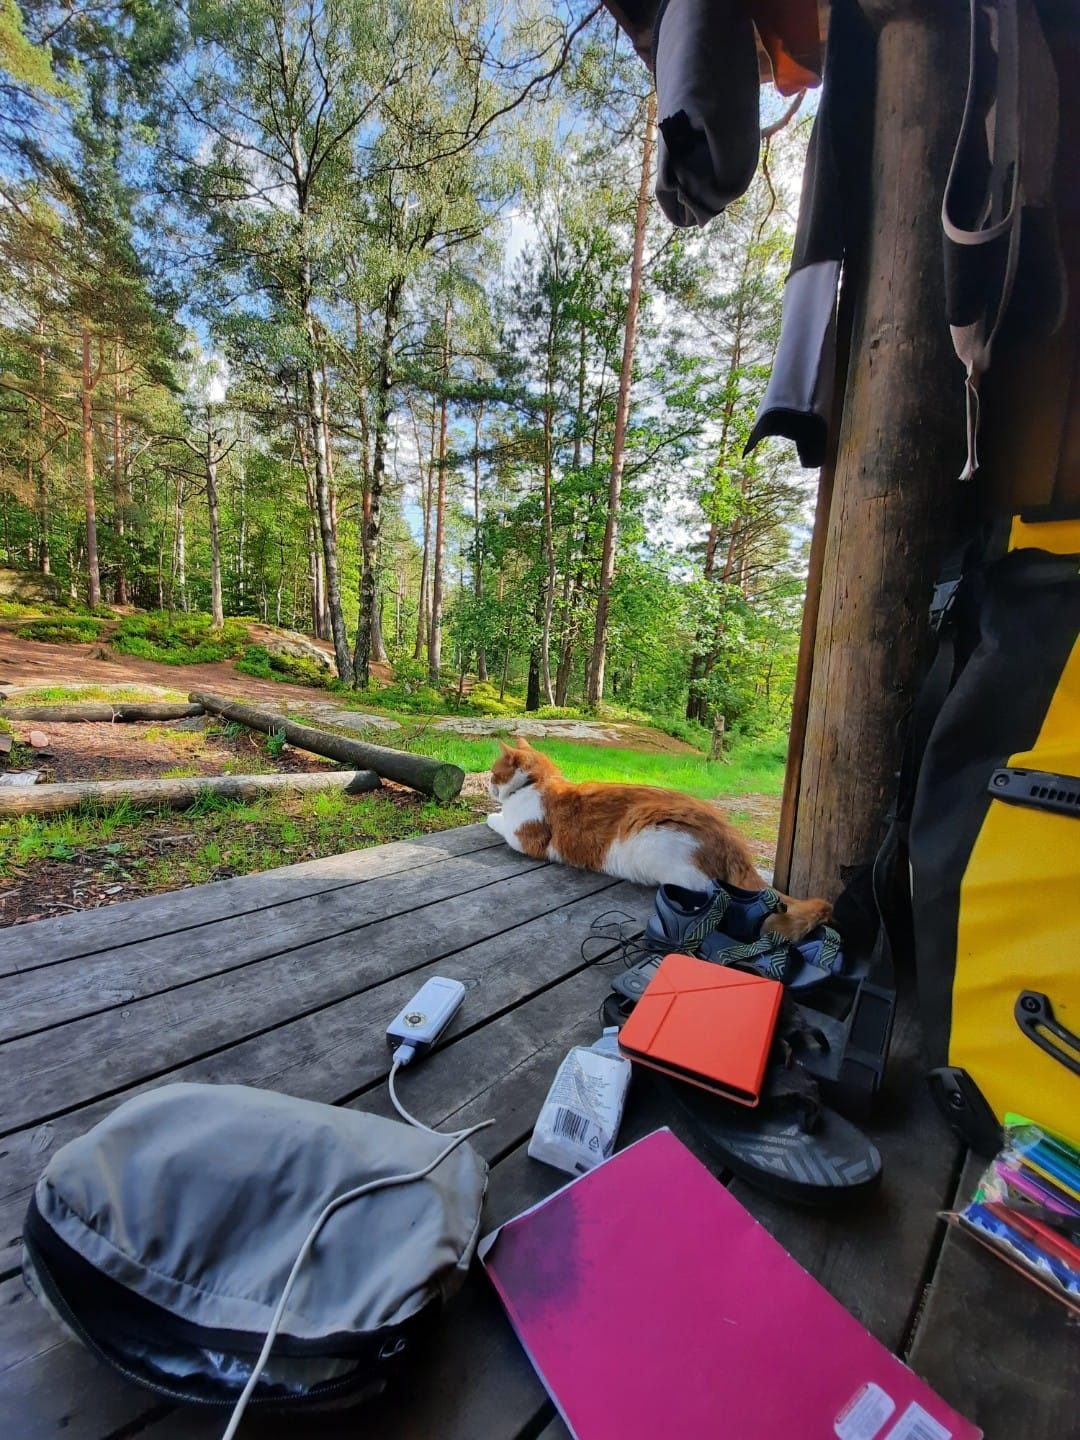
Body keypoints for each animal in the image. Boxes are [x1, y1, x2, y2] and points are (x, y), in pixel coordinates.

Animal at [486, 743, 835, 944]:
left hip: (653, 842)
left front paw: (493, 813)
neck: (539, 782)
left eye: (492, 773)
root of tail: (729, 836)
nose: (487, 784)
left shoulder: (525, 838)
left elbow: (498, 821)